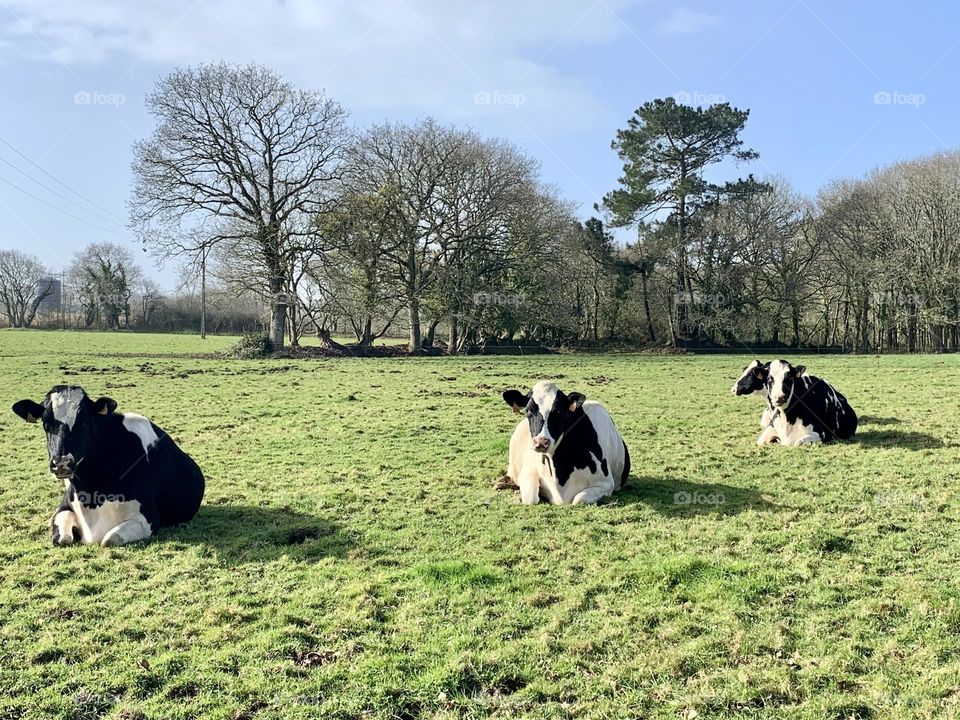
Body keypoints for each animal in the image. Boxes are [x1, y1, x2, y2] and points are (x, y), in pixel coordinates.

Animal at [12, 385, 205, 546]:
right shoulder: (65, 505)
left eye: (84, 422)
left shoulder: (148, 518)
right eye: (45, 423)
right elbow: (63, 538)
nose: (61, 464)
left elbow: (110, 539)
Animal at [501, 381, 630, 505]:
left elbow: (578, 499)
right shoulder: (527, 471)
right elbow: (530, 498)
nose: (541, 442)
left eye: (559, 412)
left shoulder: (606, 483)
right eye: (528, 411)